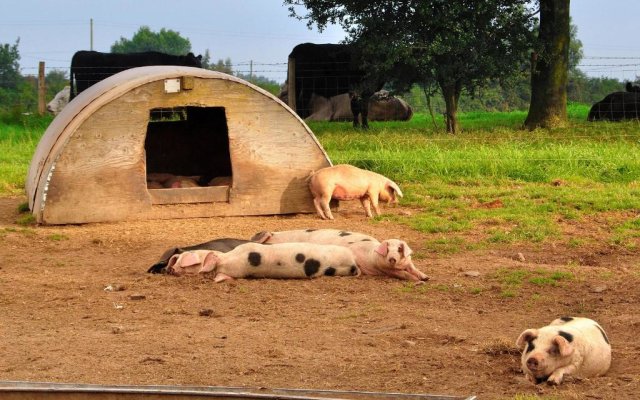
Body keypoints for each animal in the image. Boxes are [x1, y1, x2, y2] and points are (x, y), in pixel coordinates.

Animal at [252, 228, 428, 282]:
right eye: (387, 249)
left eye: (399, 249)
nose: (392, 258)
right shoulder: (385, 269)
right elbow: (402, 273)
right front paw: (417, 280)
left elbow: (412, 268)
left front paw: (426, 277)